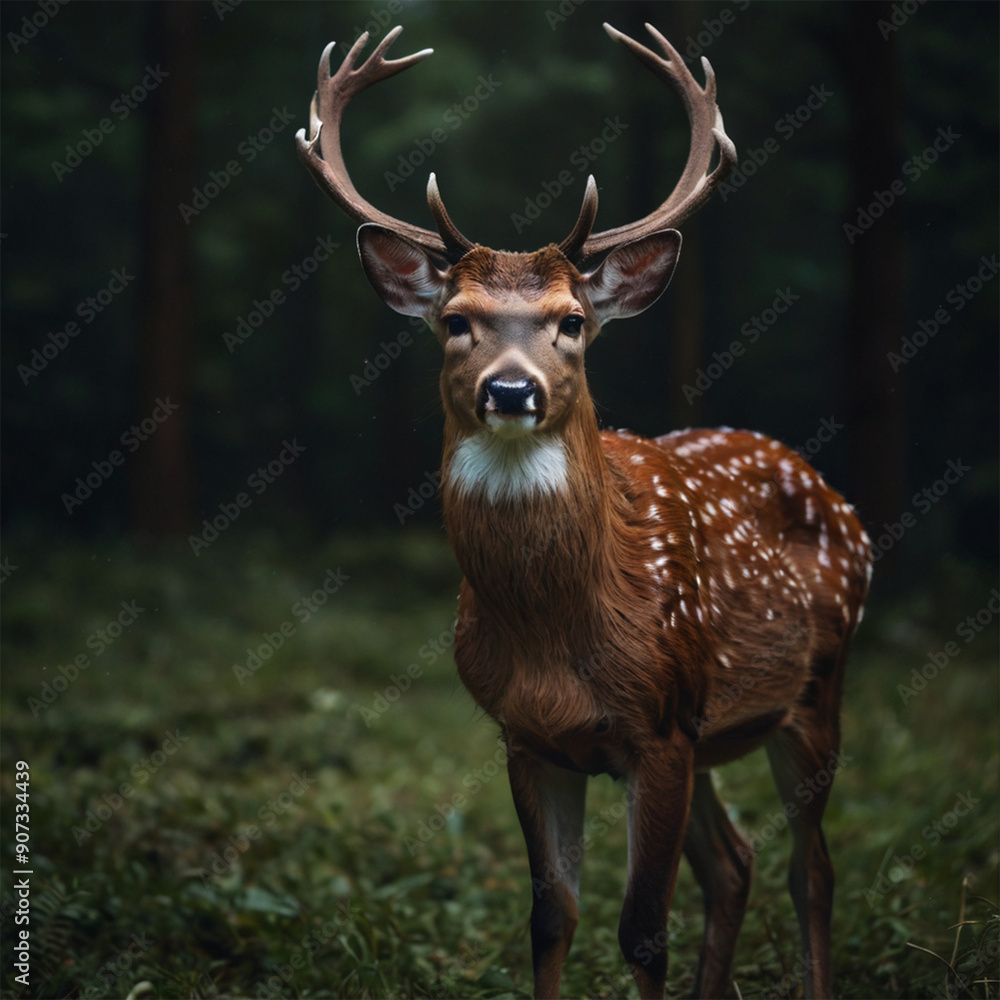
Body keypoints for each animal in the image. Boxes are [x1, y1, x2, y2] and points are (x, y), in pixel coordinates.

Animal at [297, 21, 872, 1000]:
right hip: (717, 730)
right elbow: (549, 917)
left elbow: (642, 932)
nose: (510, 389)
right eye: (455, 319)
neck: (564, 638)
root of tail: (834, 497)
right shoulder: (528, 737)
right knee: (736, 862)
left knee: (814, 867)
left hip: (814, 693)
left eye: (571, 320)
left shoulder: (661, 728)